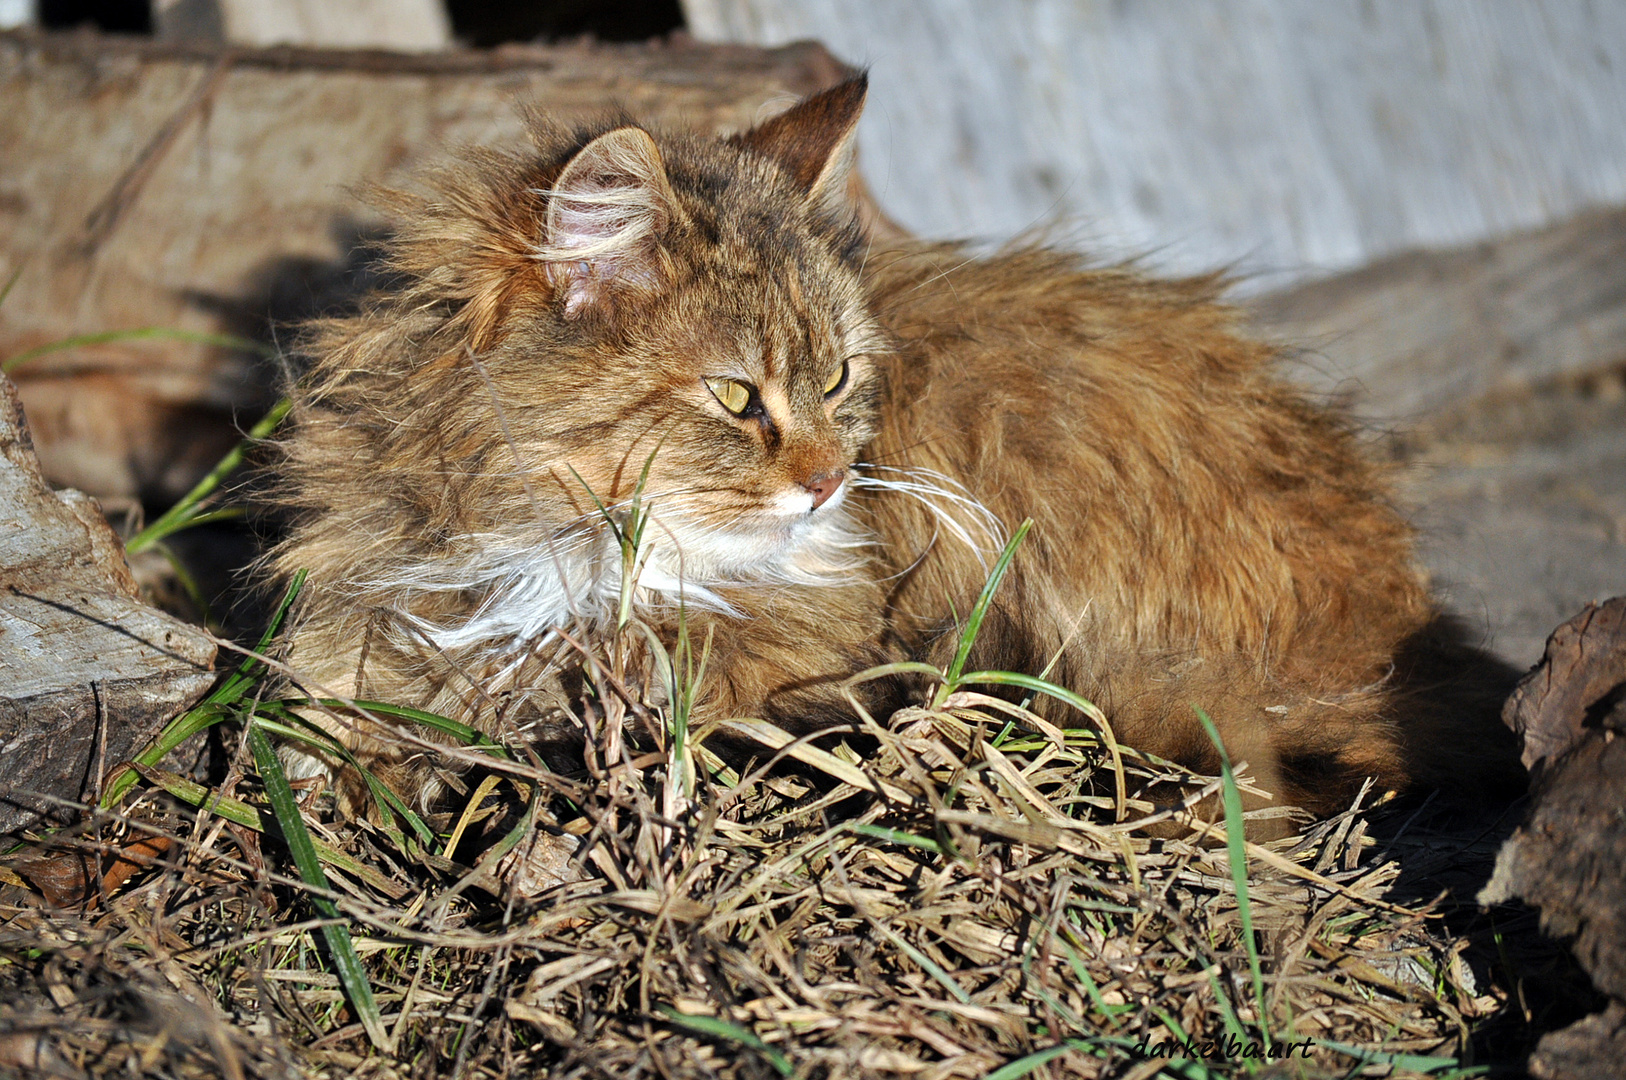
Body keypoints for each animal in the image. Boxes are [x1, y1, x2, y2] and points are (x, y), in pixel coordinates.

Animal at [269, 78, 1521, 819]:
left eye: (834, 379)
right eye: (738, 397)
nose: (830, 485)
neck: (569, 560)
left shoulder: (821, 634)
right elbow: (331, 737)